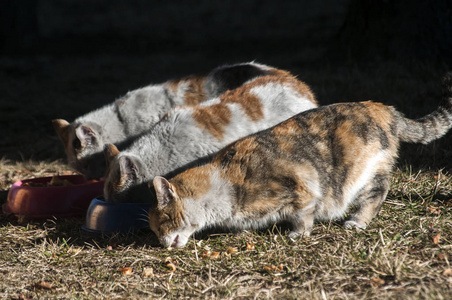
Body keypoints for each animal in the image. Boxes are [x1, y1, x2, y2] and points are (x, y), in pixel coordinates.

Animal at [150, 73, 452, 248]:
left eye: (162, 222)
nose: (161, 243)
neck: (224, 182)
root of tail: (381, 107)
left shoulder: (303, 184)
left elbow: (303, 213)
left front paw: (298, 234)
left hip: (363, 172)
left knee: (377, 193)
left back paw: (357, 221)